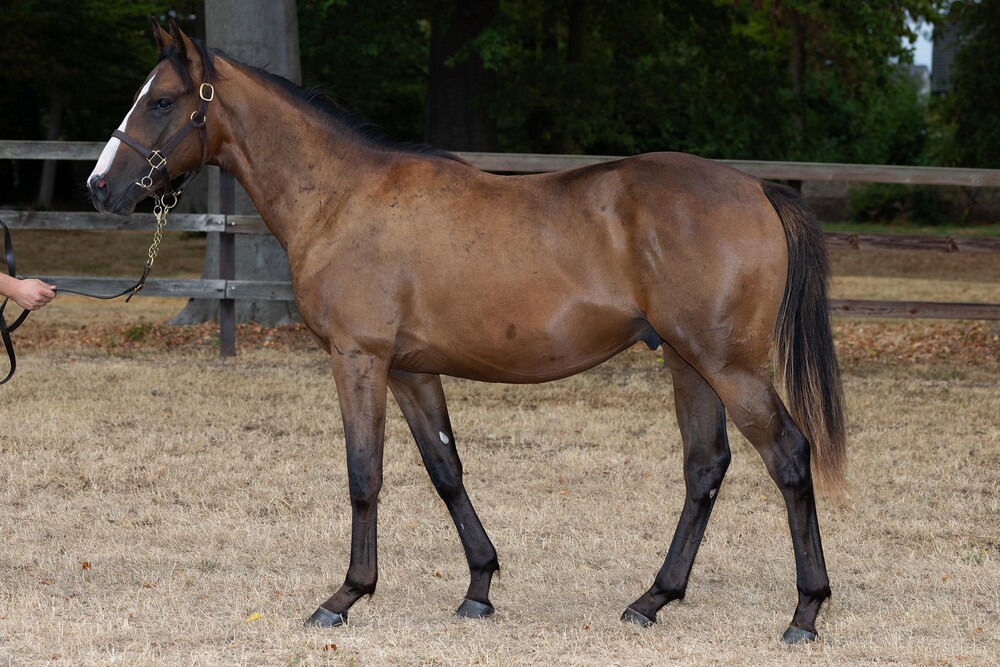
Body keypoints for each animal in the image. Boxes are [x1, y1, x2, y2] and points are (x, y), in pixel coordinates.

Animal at [87, 21, 846, 643]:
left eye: (162, 101)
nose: (98, 186)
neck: (341, 198)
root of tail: (756, 189)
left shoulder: (359, 359)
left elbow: (364, 473)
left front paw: (346, 595)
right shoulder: (410, 370)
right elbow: (445, 470)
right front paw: (479, 586)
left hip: (729, 366)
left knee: (787, 456)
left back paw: (805, 612)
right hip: (689, 363)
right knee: (705, 467)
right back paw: (653, 599)